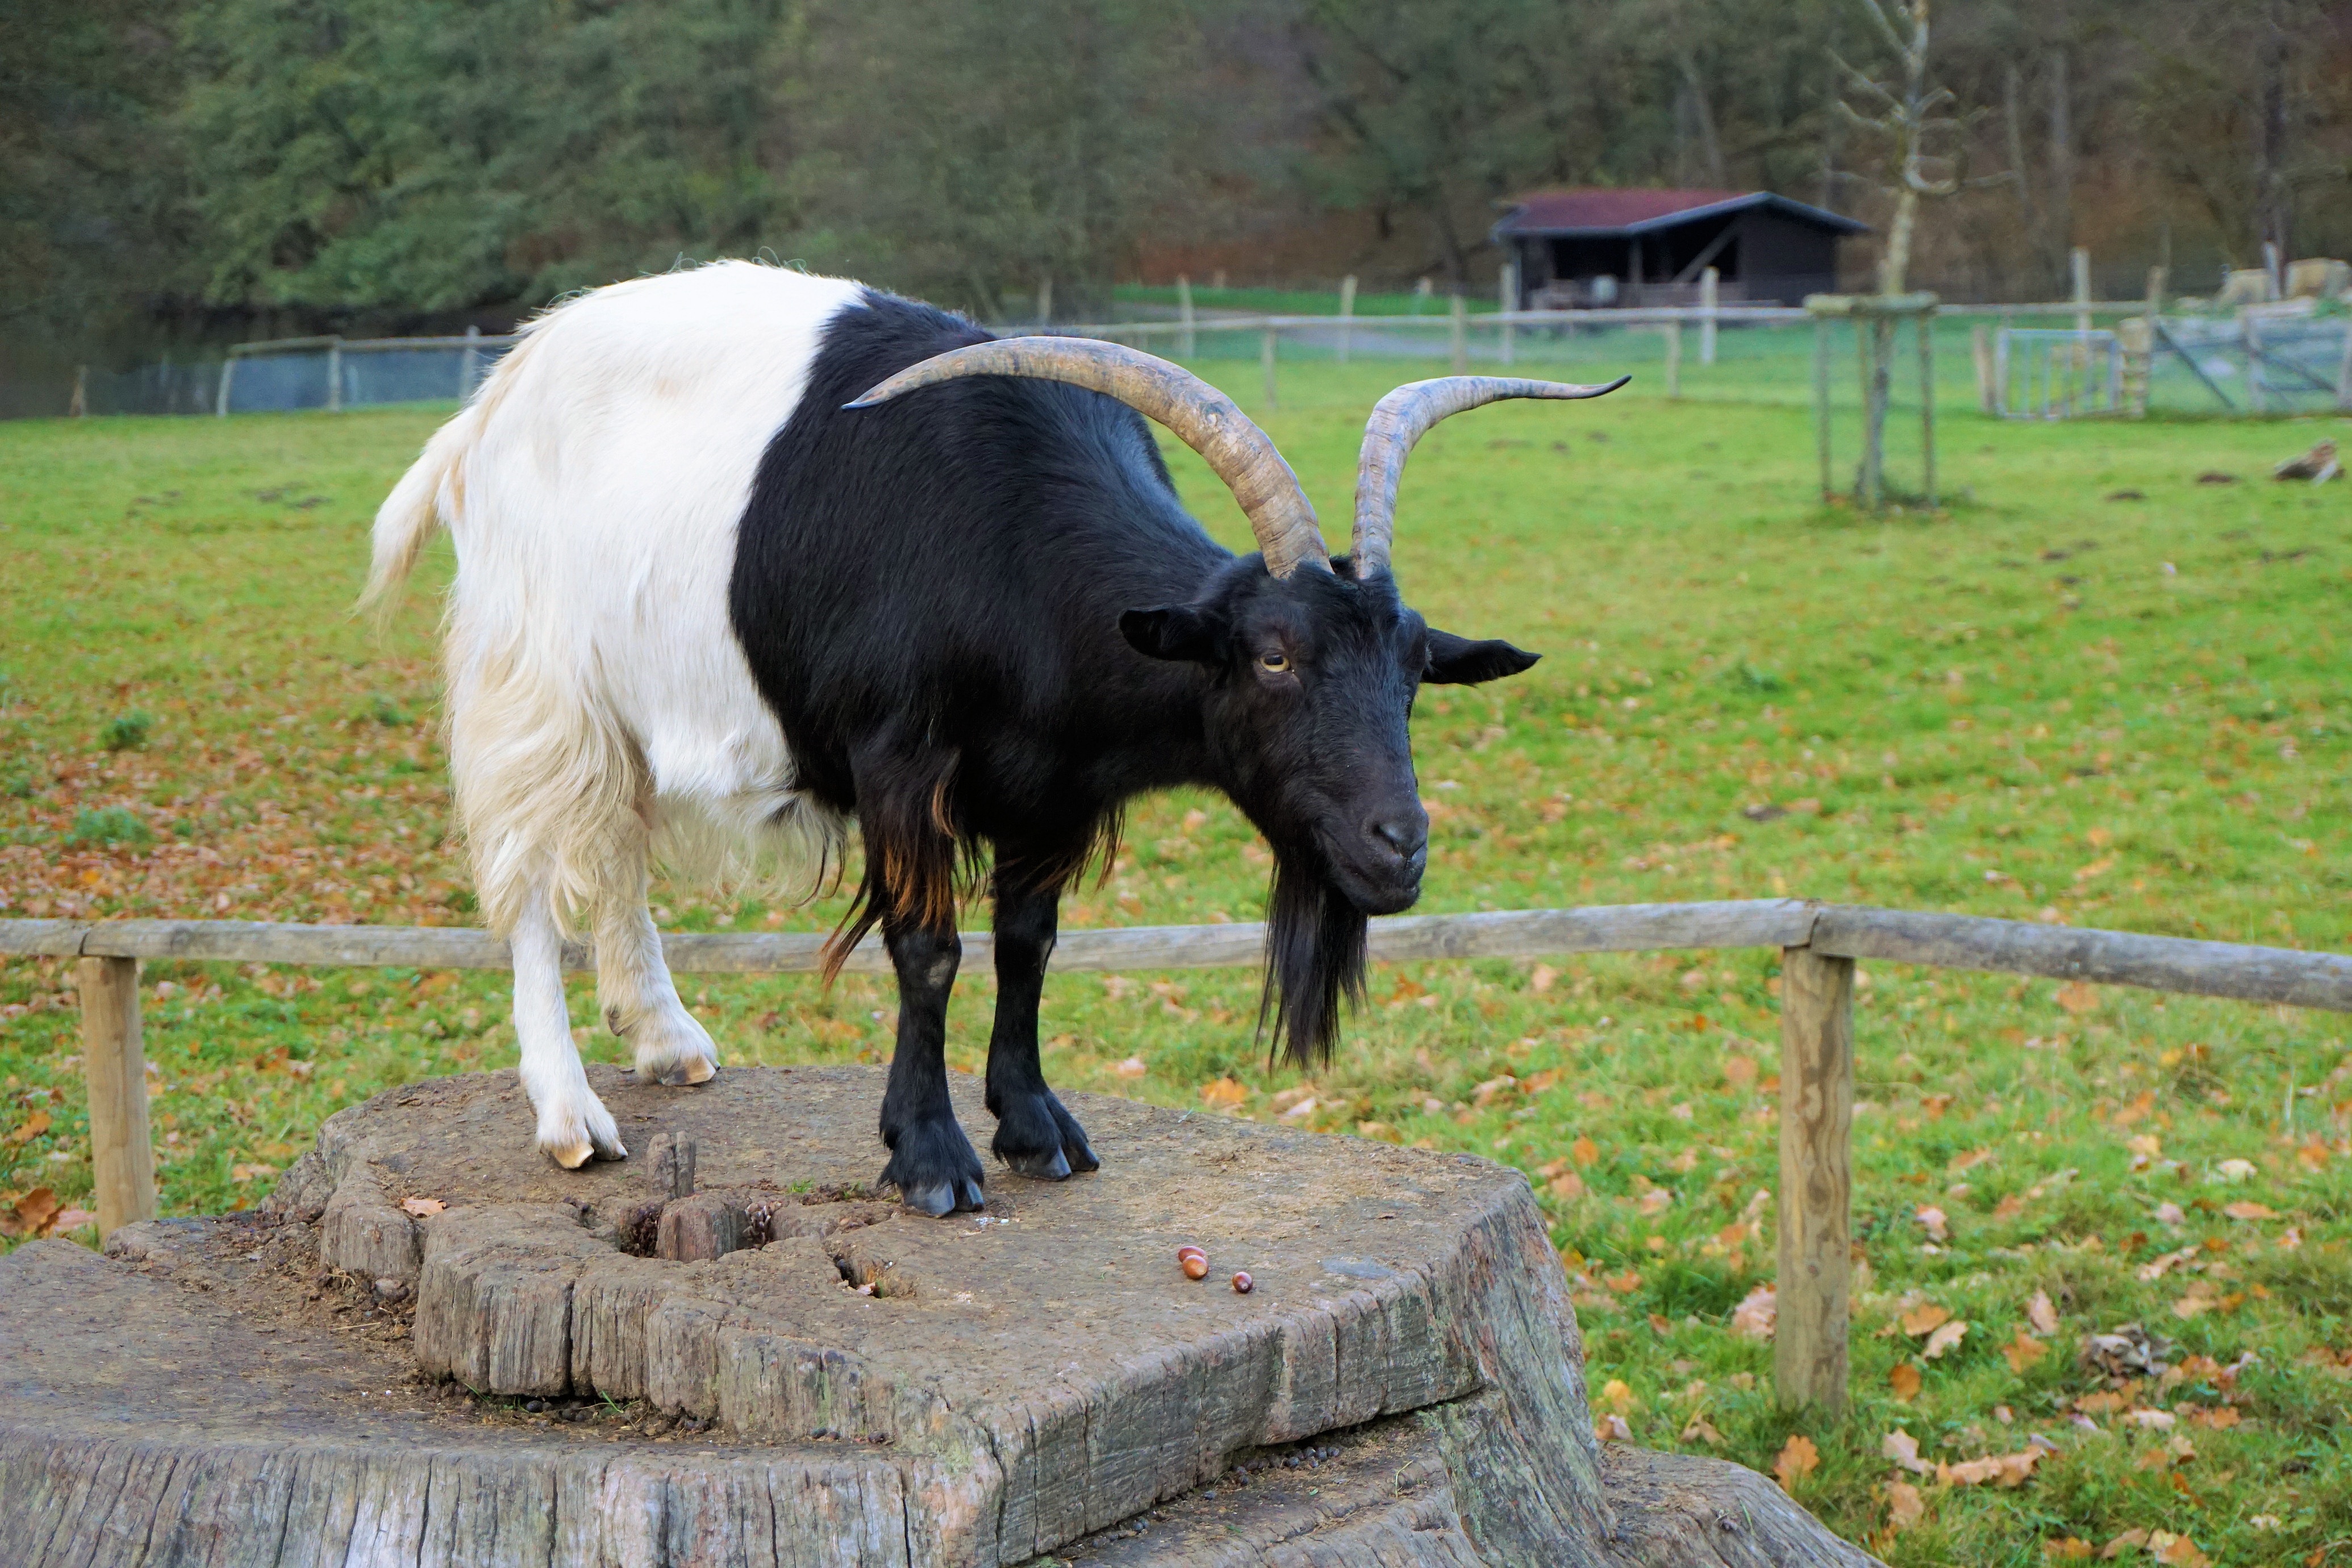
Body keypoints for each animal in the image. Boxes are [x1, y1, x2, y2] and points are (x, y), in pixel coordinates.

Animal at [362, 261, 1618, 1213]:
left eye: (1413, 667)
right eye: (1273, 656)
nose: (1398, 844)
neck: (1015, 556)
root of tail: (490, 405)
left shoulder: (1051, 785)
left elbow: (1029, 945)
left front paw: (1034, 1125)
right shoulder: (898, 758)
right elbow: (930, 951)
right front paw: (931, 1156)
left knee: (615, 852)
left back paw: (669, 1040)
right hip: (537, 680)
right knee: (531, 878)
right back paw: (571, 1112)